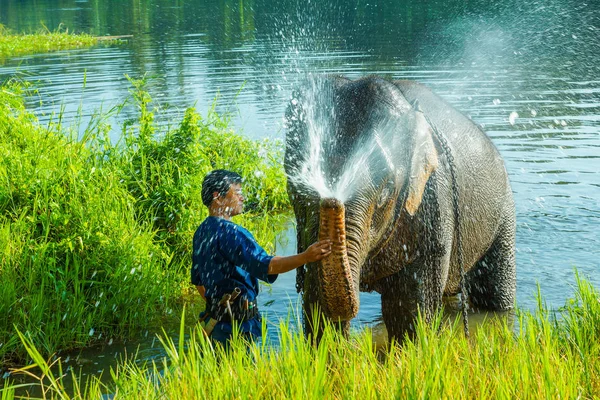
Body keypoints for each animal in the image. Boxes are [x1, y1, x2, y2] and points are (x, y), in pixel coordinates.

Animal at [284, 76, 516, 344]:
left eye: (386, 192)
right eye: (296, 187)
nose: (332, 198)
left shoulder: (433, 205)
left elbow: (408, 310)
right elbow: (317, 305)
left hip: (504, 213)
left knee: (494, 294)